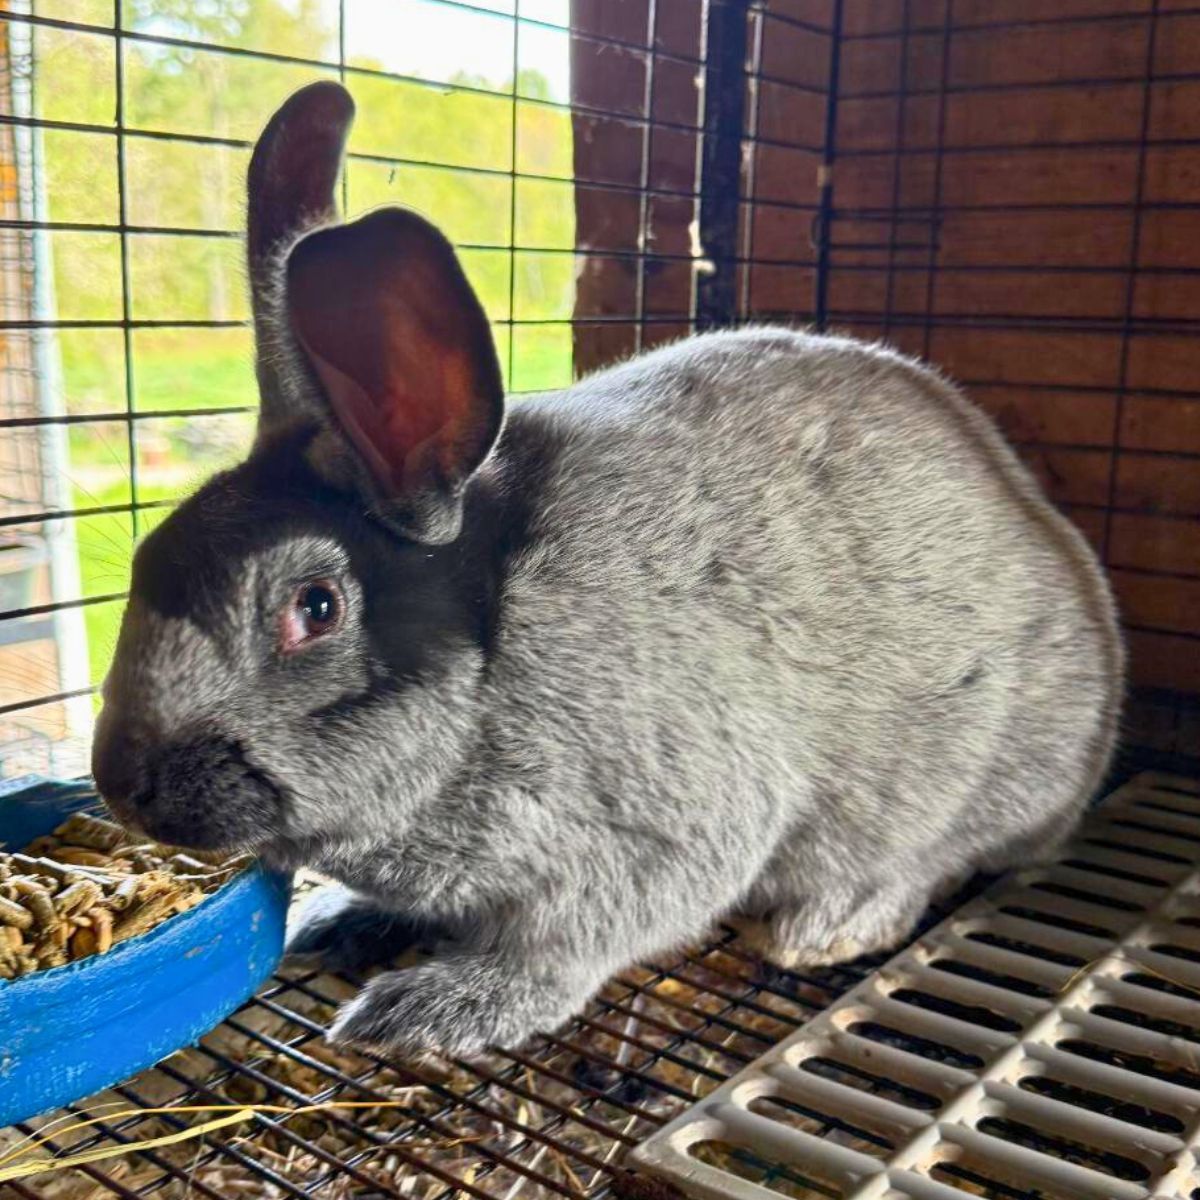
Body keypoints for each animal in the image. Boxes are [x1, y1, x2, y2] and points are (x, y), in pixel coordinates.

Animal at [90, 81, 1123, 1057]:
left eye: (314, 607)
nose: (120, 786)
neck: (490, 675)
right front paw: (337, 922)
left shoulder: (657, 839)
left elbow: (560, 953)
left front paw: (432, 1010)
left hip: (948, 785)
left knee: (929, 858)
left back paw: (818, 930)